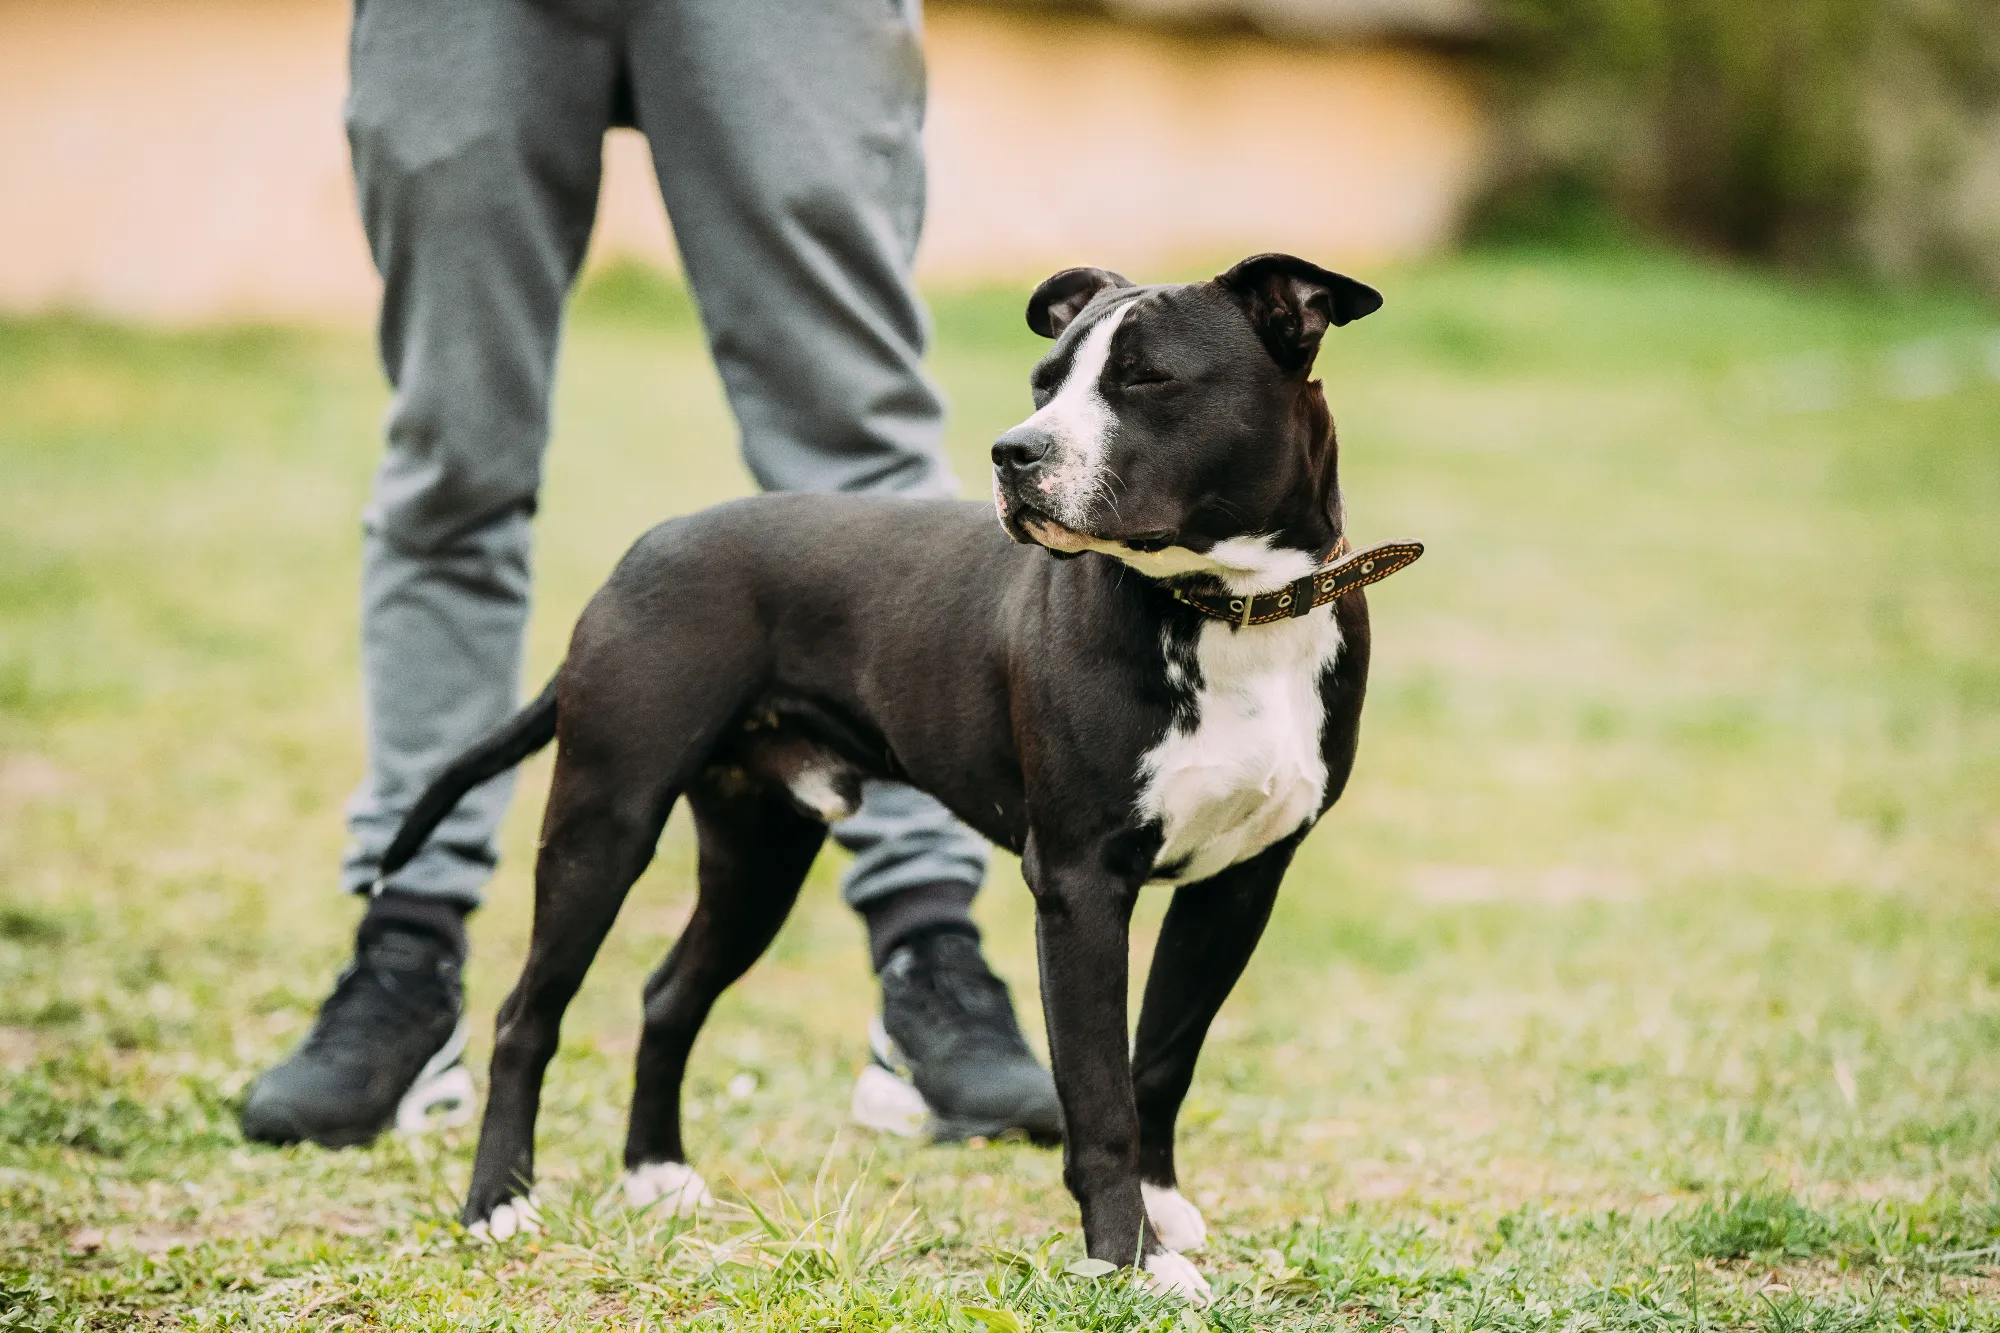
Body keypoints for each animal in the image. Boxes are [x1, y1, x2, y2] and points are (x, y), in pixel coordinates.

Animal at [378, 252, 1424, 1296]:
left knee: (668, 996)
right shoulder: (1081, 885)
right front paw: (1129, 1258)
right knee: (526, 1014)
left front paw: (1160, 1215)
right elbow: (1099, 1098)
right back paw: (498, 1201)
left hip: (758, 854)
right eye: (1045, 385)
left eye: (1147, 380)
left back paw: (655, 1174)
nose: (1015, 452)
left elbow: (1161, 1061)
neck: (1232, 611)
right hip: (606, 822)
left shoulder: (1239, 885)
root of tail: (643, 550)